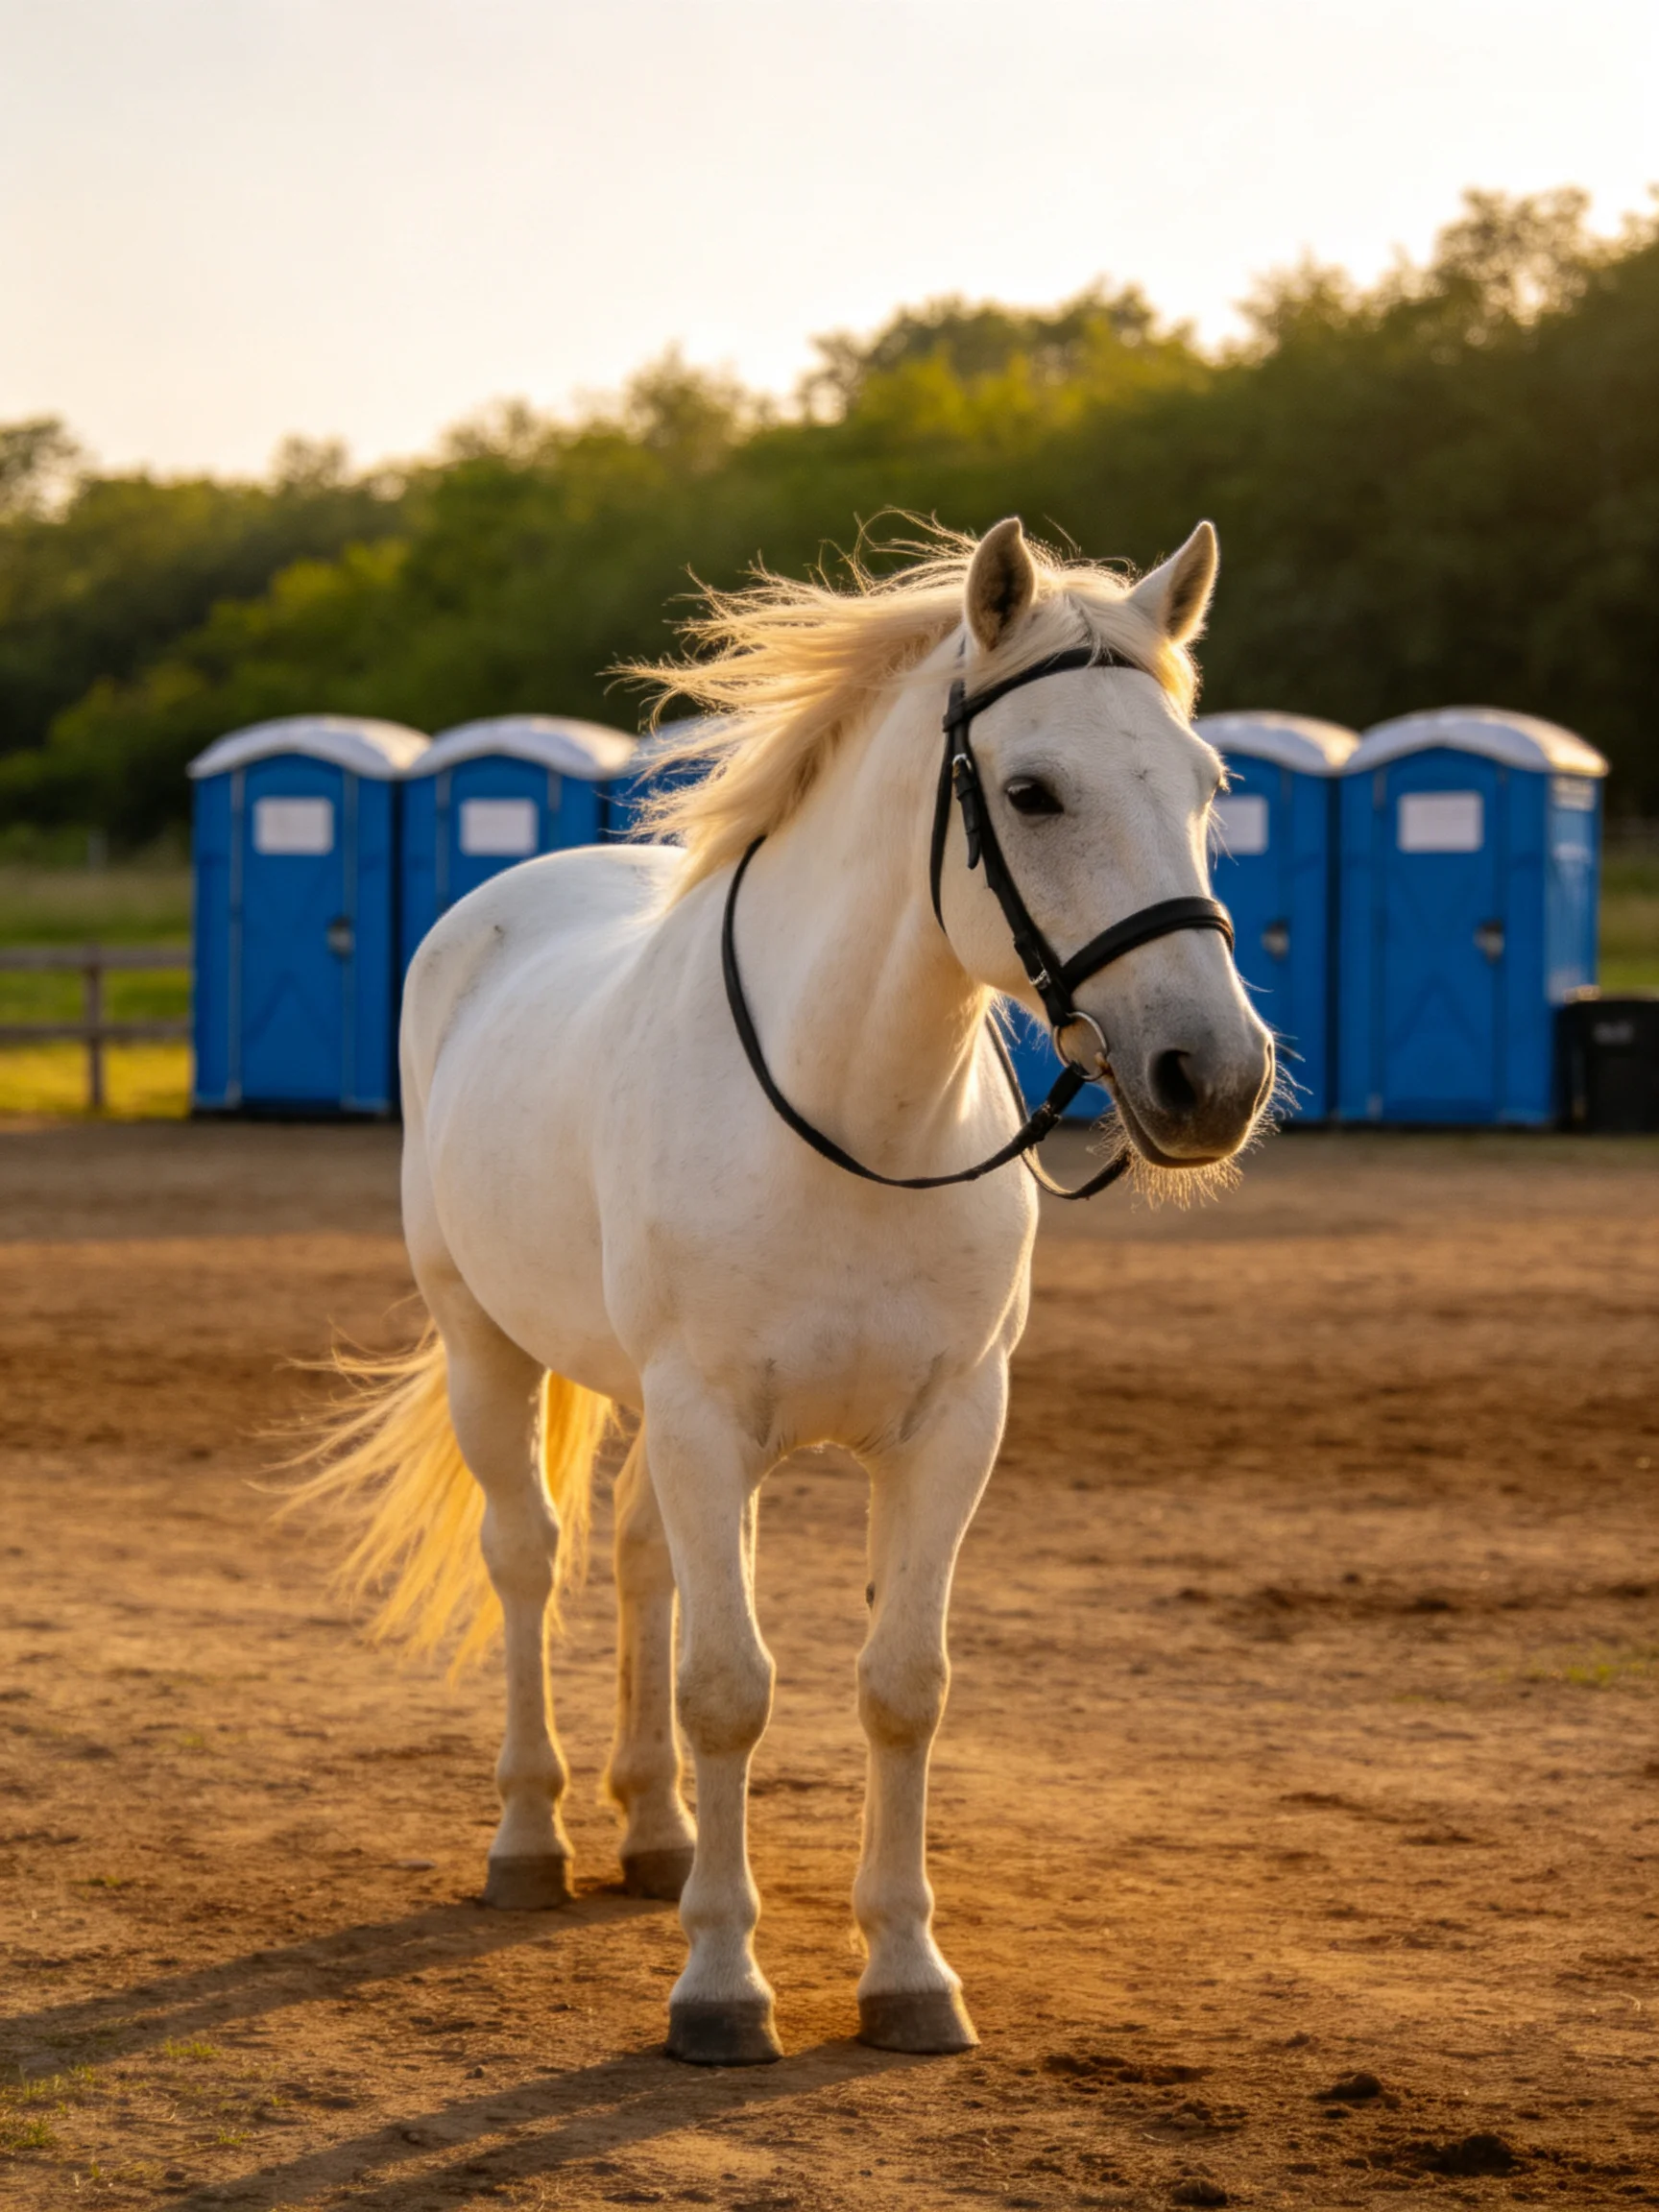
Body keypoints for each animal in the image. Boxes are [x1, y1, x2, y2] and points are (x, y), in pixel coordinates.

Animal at [299, 515, 1275, 2067]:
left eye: (1205, 786)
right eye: (1032, 790)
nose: (1214, 1076)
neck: (855, 1117)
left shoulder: (949, 1431)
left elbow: (899, 1687)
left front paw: (908, 1974)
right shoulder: (709, 1421)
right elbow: (730, 1690)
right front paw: (721, 1986)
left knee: (638, 1559)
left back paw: (652, 1838)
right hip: (484, 1350)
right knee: (532, 1559)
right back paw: (532, 1840)